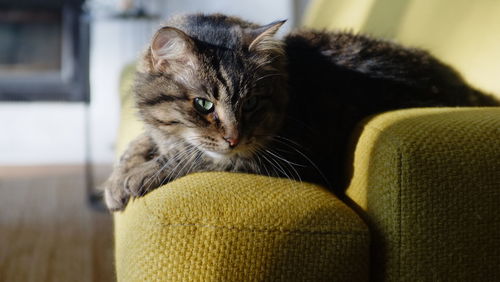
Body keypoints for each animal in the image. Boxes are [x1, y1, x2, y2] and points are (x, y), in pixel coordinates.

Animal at [103, 13, 498, 212]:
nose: (234, 138)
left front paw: (139, 175)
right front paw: (118, 177)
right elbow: (143, 141)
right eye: (203, 104)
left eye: (251, 103)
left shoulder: (288, 157)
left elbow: (195, 157)